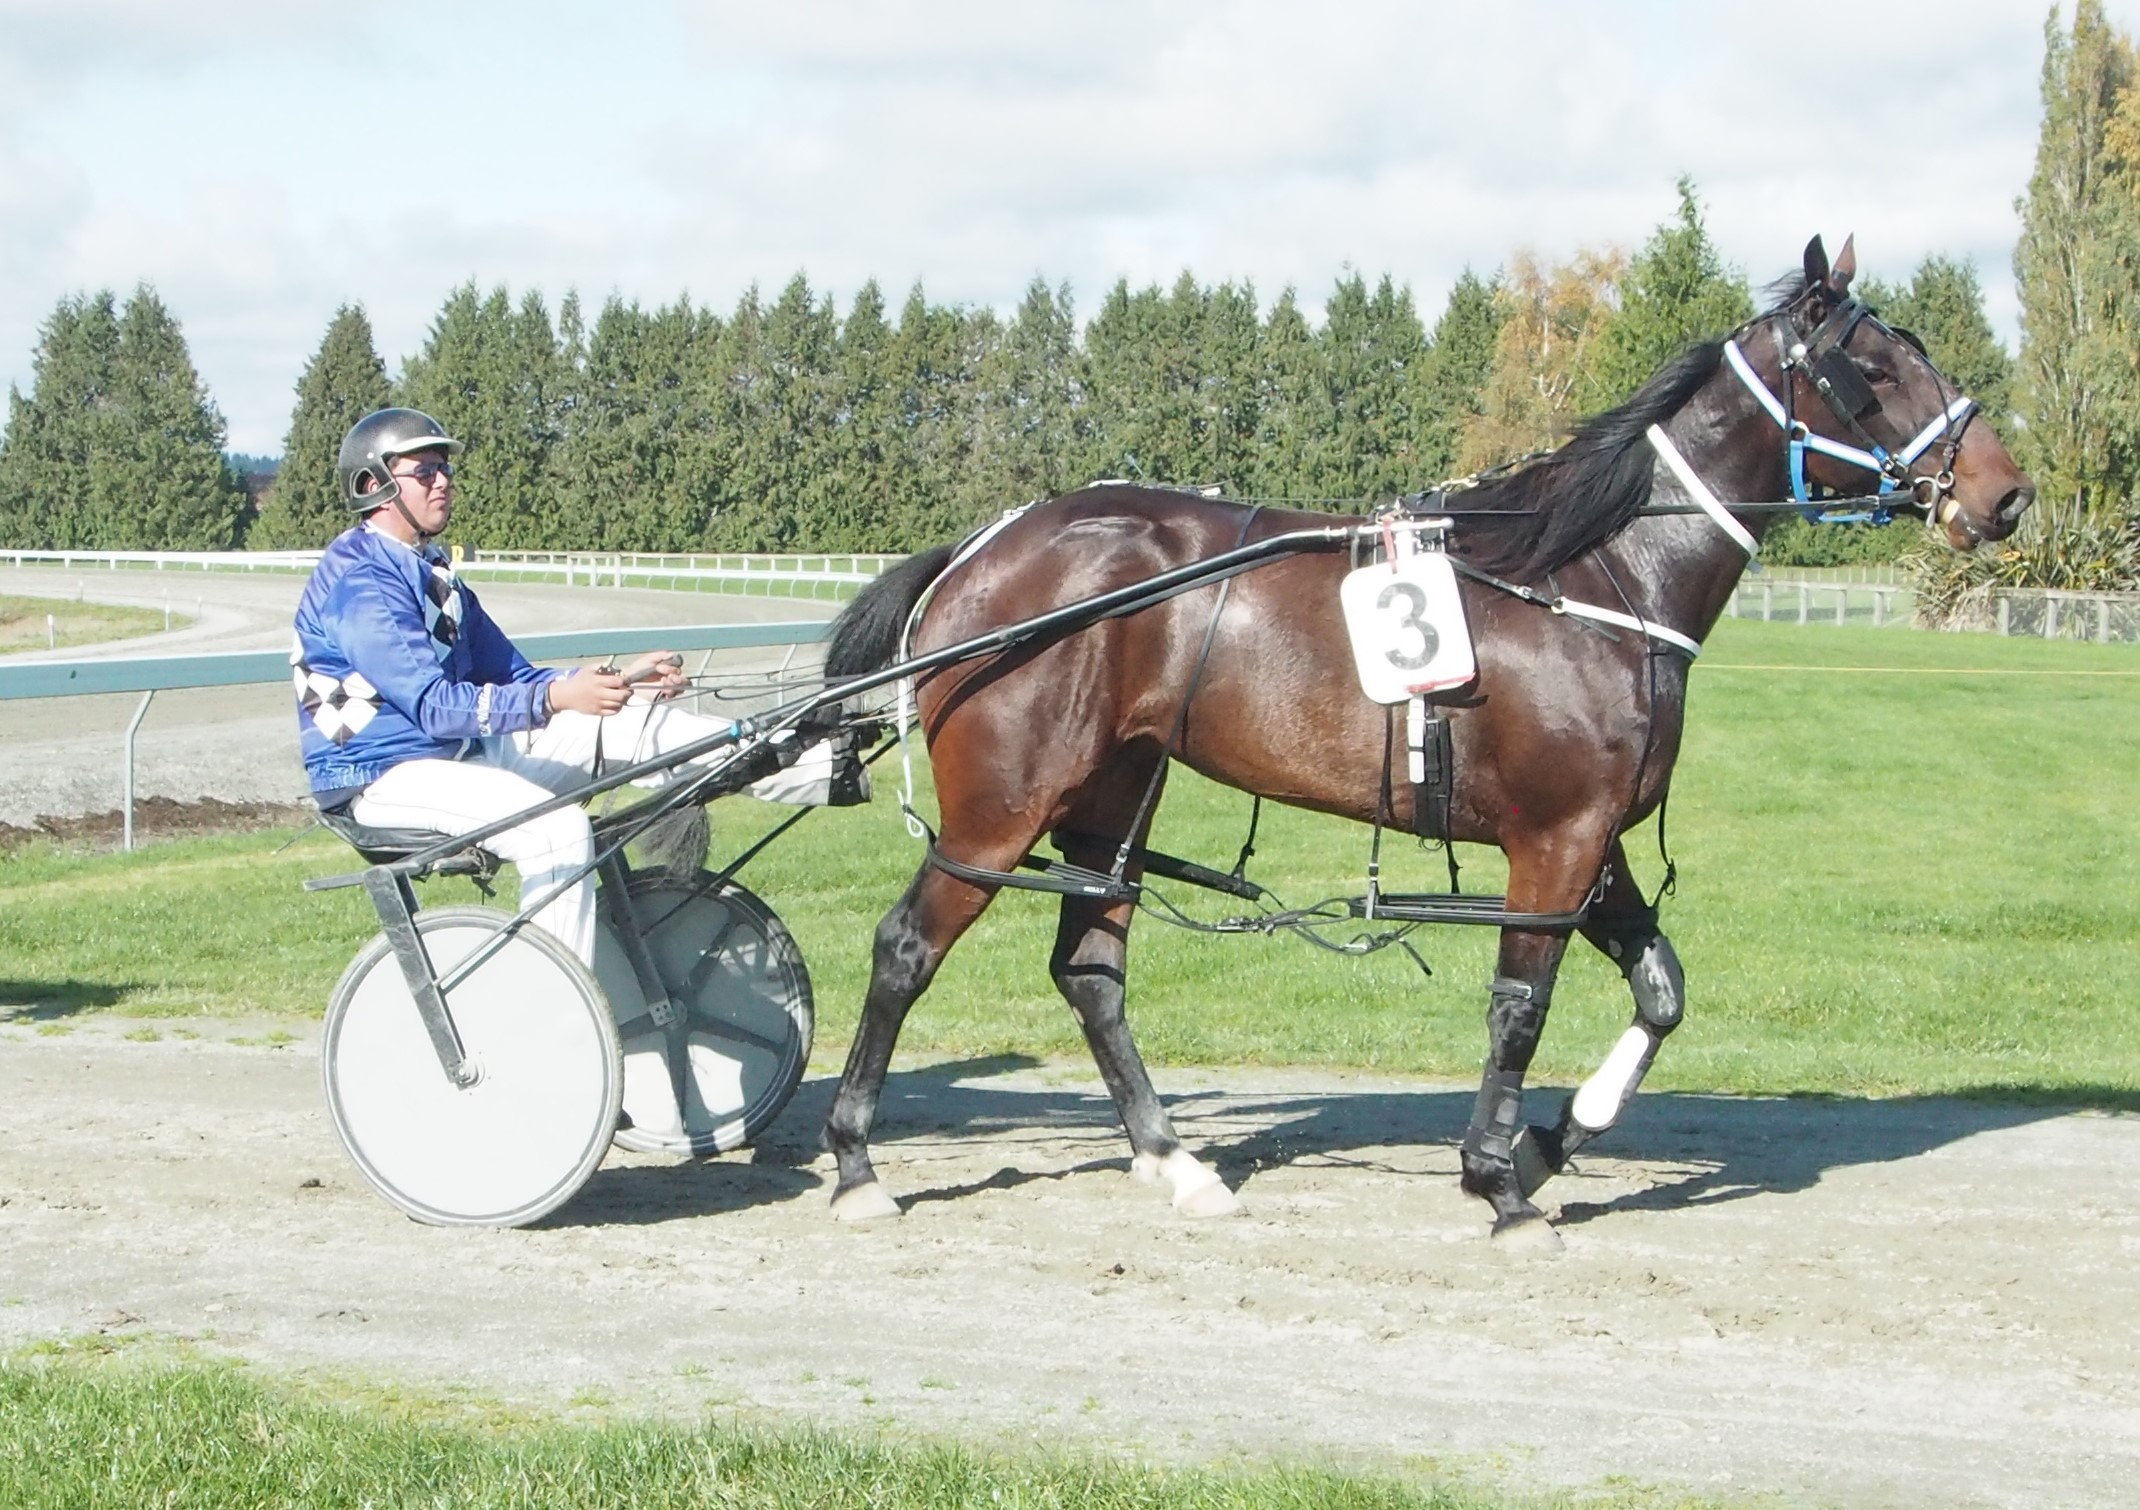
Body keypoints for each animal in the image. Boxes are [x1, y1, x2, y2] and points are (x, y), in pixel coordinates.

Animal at [814, 236, 2034, 1246]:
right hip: (1002, 807)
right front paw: (1499, 1182)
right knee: (906, 947)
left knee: (1090, 970)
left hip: (1111, 799)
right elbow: (1519, 1008)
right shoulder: (1554, 841)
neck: (1593, 572)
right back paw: (857, 1161)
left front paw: (1546, 1146)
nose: (2007, 493)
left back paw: (1172, 1158)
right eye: (1874, 368)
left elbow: (1662, 992)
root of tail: (984, 549)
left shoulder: (1596, 839)